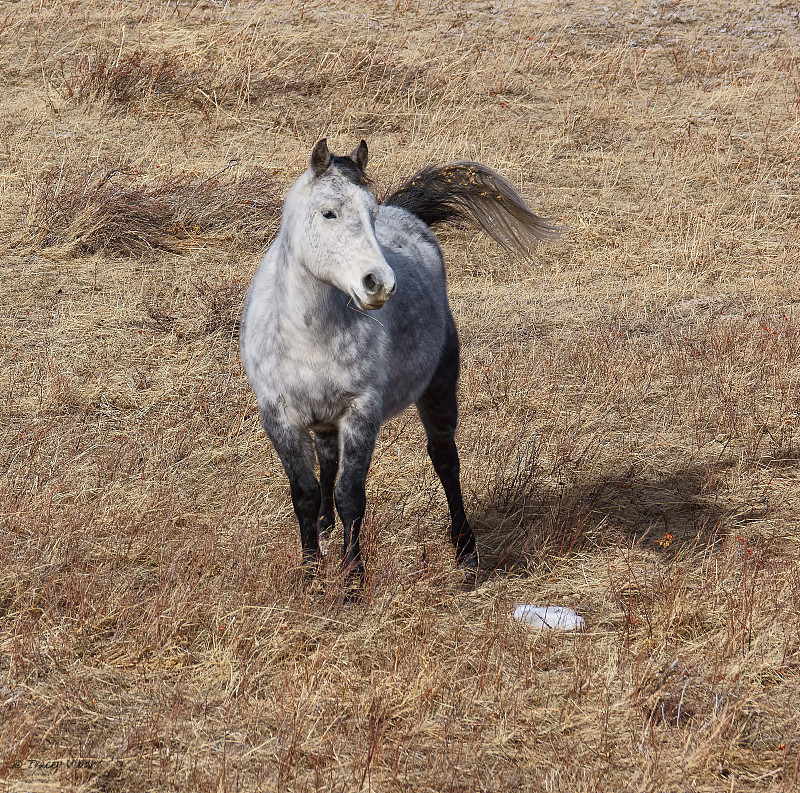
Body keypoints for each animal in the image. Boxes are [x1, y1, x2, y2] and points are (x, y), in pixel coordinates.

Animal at [241, 141, 560, 588]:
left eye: (370, 212)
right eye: (328, 212)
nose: (378, 283)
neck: (307, 336)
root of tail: (410, 217)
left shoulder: (362, 412)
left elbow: (351, 497)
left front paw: (352, 582)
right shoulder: (279, 416)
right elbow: (304, 494)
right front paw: (310, 576)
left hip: (438, 389)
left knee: (445, 459)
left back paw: (465, 551)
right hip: (324, 419)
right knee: (328, 459)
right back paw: (325, 527)